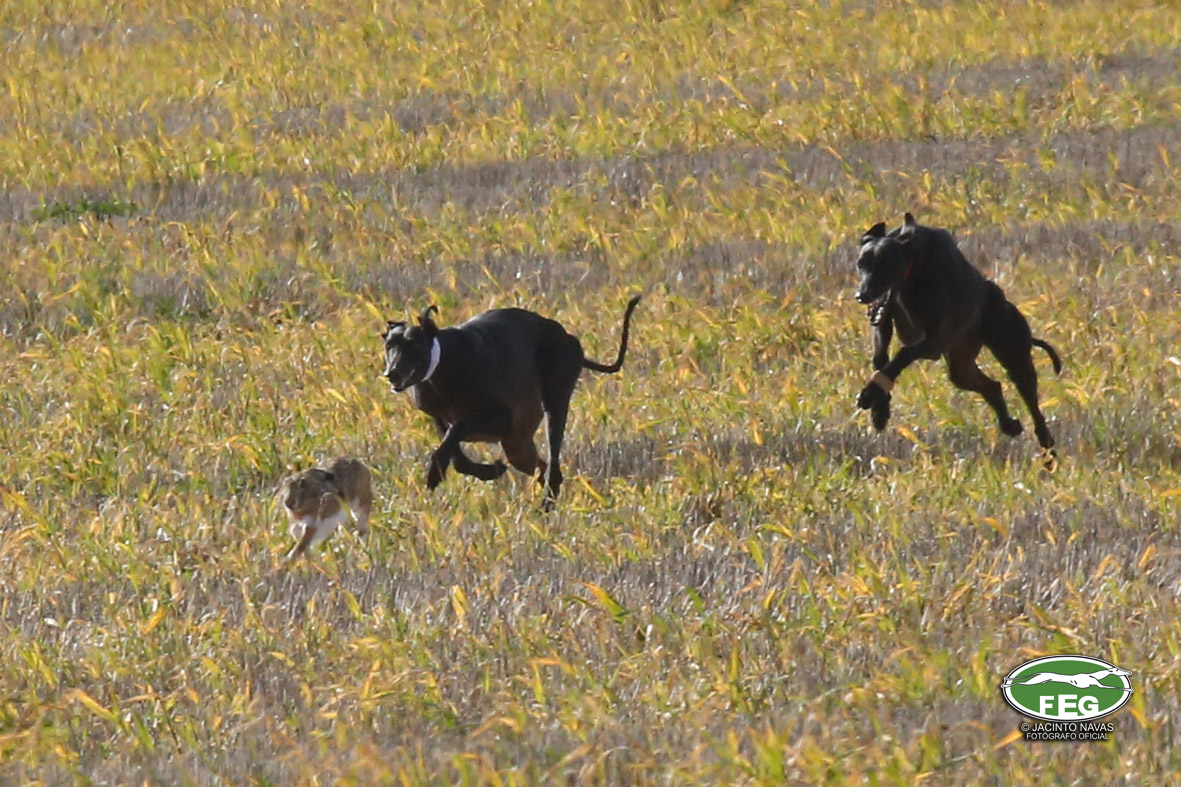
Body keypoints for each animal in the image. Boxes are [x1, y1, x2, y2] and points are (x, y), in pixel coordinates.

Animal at [381, 295, 641, 503]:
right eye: (388, 345)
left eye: (414, 344)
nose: (391, 374)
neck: (444, 365)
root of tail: (568, 337)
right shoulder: (438, 415)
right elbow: (455, 450)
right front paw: (488, 470)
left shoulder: (502, 418)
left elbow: (457, 429)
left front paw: (436, 471)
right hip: (517, 443)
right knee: (544, 470)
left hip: (553, 404)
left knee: (553, 466)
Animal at [854, 213, 1062, 452]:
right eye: (860, 264)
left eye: (886, 264)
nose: (861, 295)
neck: (914, 266)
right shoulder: (884, 320)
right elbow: (880, 358)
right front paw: (880, 408)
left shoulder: (936, 340)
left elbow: (903, 353)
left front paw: (870, 393)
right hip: (960, 367)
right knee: (992, 386)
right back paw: (1009, 425)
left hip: (1014, 355)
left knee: (1032, 405)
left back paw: (1046, 445)